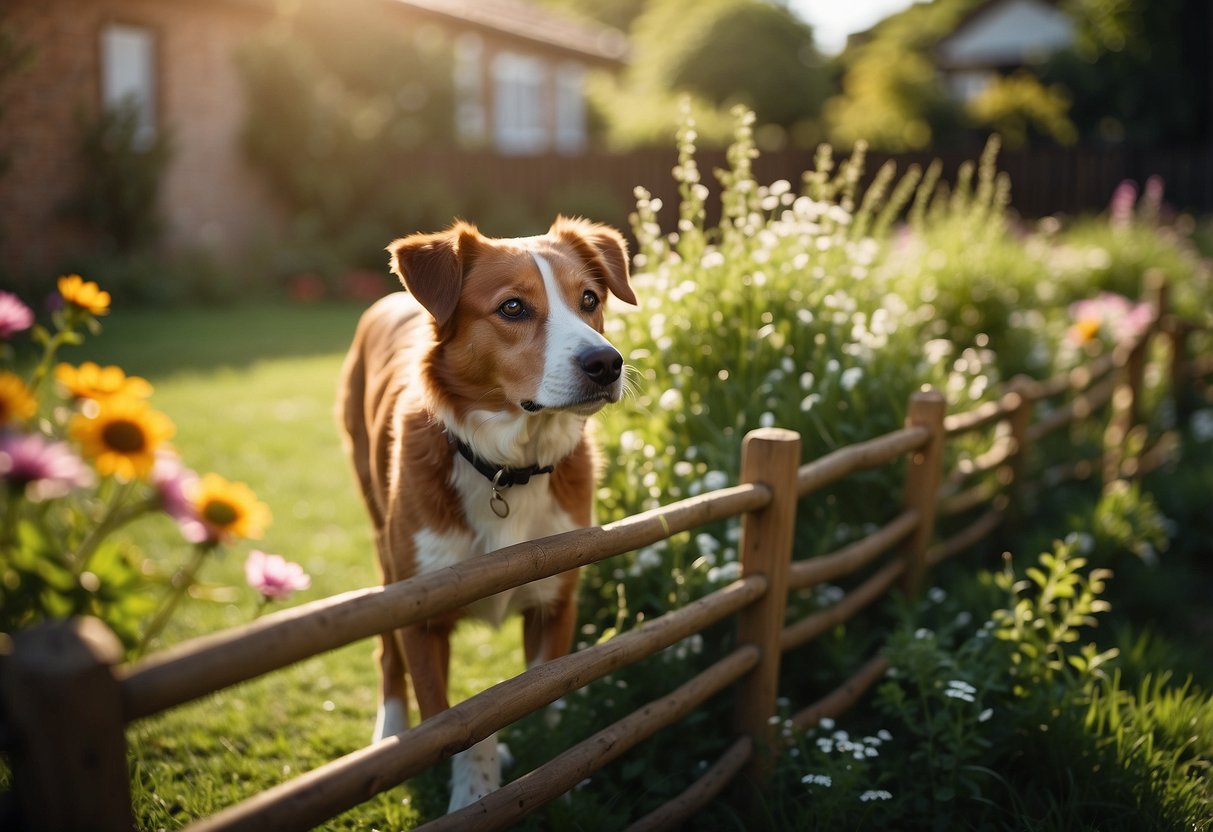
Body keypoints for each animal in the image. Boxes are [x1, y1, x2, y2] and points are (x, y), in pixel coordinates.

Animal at [332, 217, 635, 815]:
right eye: (513, 308)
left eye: (589, 299)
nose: (606, 363)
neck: (508, 468)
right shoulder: (421, 616)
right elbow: (449, 722)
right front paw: (473, 786)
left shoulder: (556, 603)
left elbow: (545, 699)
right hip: (383, 553)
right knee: (386, 655)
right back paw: (389, 732)